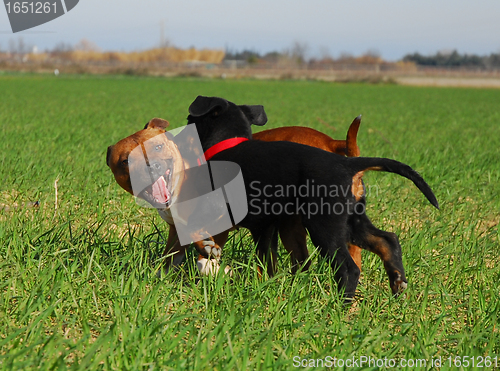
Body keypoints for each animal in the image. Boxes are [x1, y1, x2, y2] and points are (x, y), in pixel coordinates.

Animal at [187, 96, 438, 300]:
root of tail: (345, 161)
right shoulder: (263, 226)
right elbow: (264, 262)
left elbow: (199, 236)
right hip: (347, 221)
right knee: (385, 240)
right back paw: (396, 283)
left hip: (322, 226)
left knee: (347, 267)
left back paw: (338, 305)